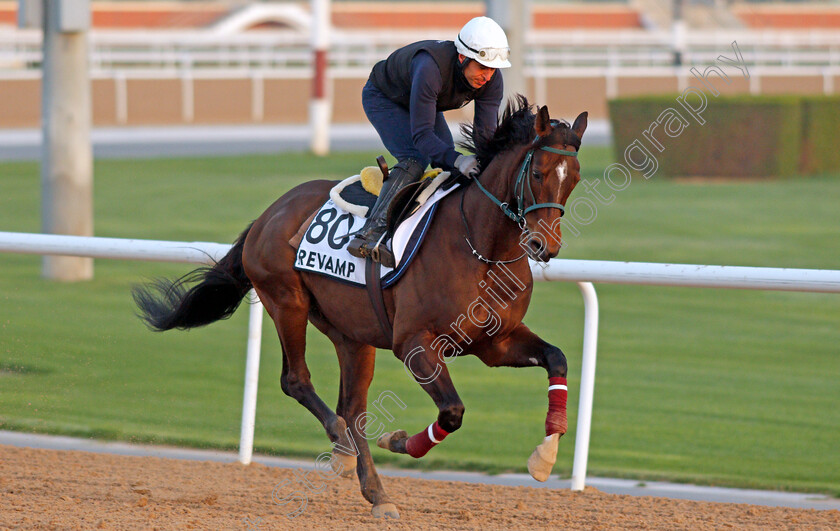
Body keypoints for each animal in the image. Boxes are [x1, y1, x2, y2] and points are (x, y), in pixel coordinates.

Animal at [135, 96, 588, 520]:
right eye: (537, 173)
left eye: (575, 178)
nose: (543, 246)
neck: (482, 248)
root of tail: (270, 212)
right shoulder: (414, 343)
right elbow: (453, 412)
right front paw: (399, 440)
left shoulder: (495, 342)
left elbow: (557, 358)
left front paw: (545, 456)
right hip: (286, 301)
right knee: (298, 382)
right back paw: (341, 446)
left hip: (353, 335)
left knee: (353, 409)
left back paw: (375, 491)